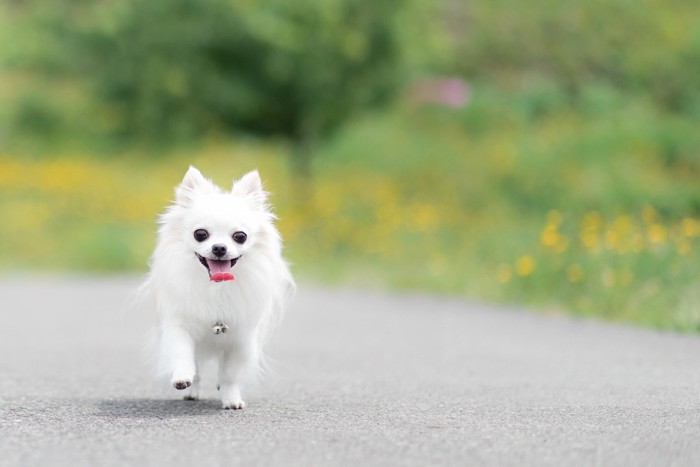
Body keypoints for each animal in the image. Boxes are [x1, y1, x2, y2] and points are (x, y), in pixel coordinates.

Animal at [141, 167, 294, 410]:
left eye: (240, 236)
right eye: (200, 234)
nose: (219, 248)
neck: (216, 288)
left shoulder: (240, 340)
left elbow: (230, 374)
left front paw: (231, 399)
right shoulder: (179, 324)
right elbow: (182, 352)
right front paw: (182, 377)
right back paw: (191, 389)